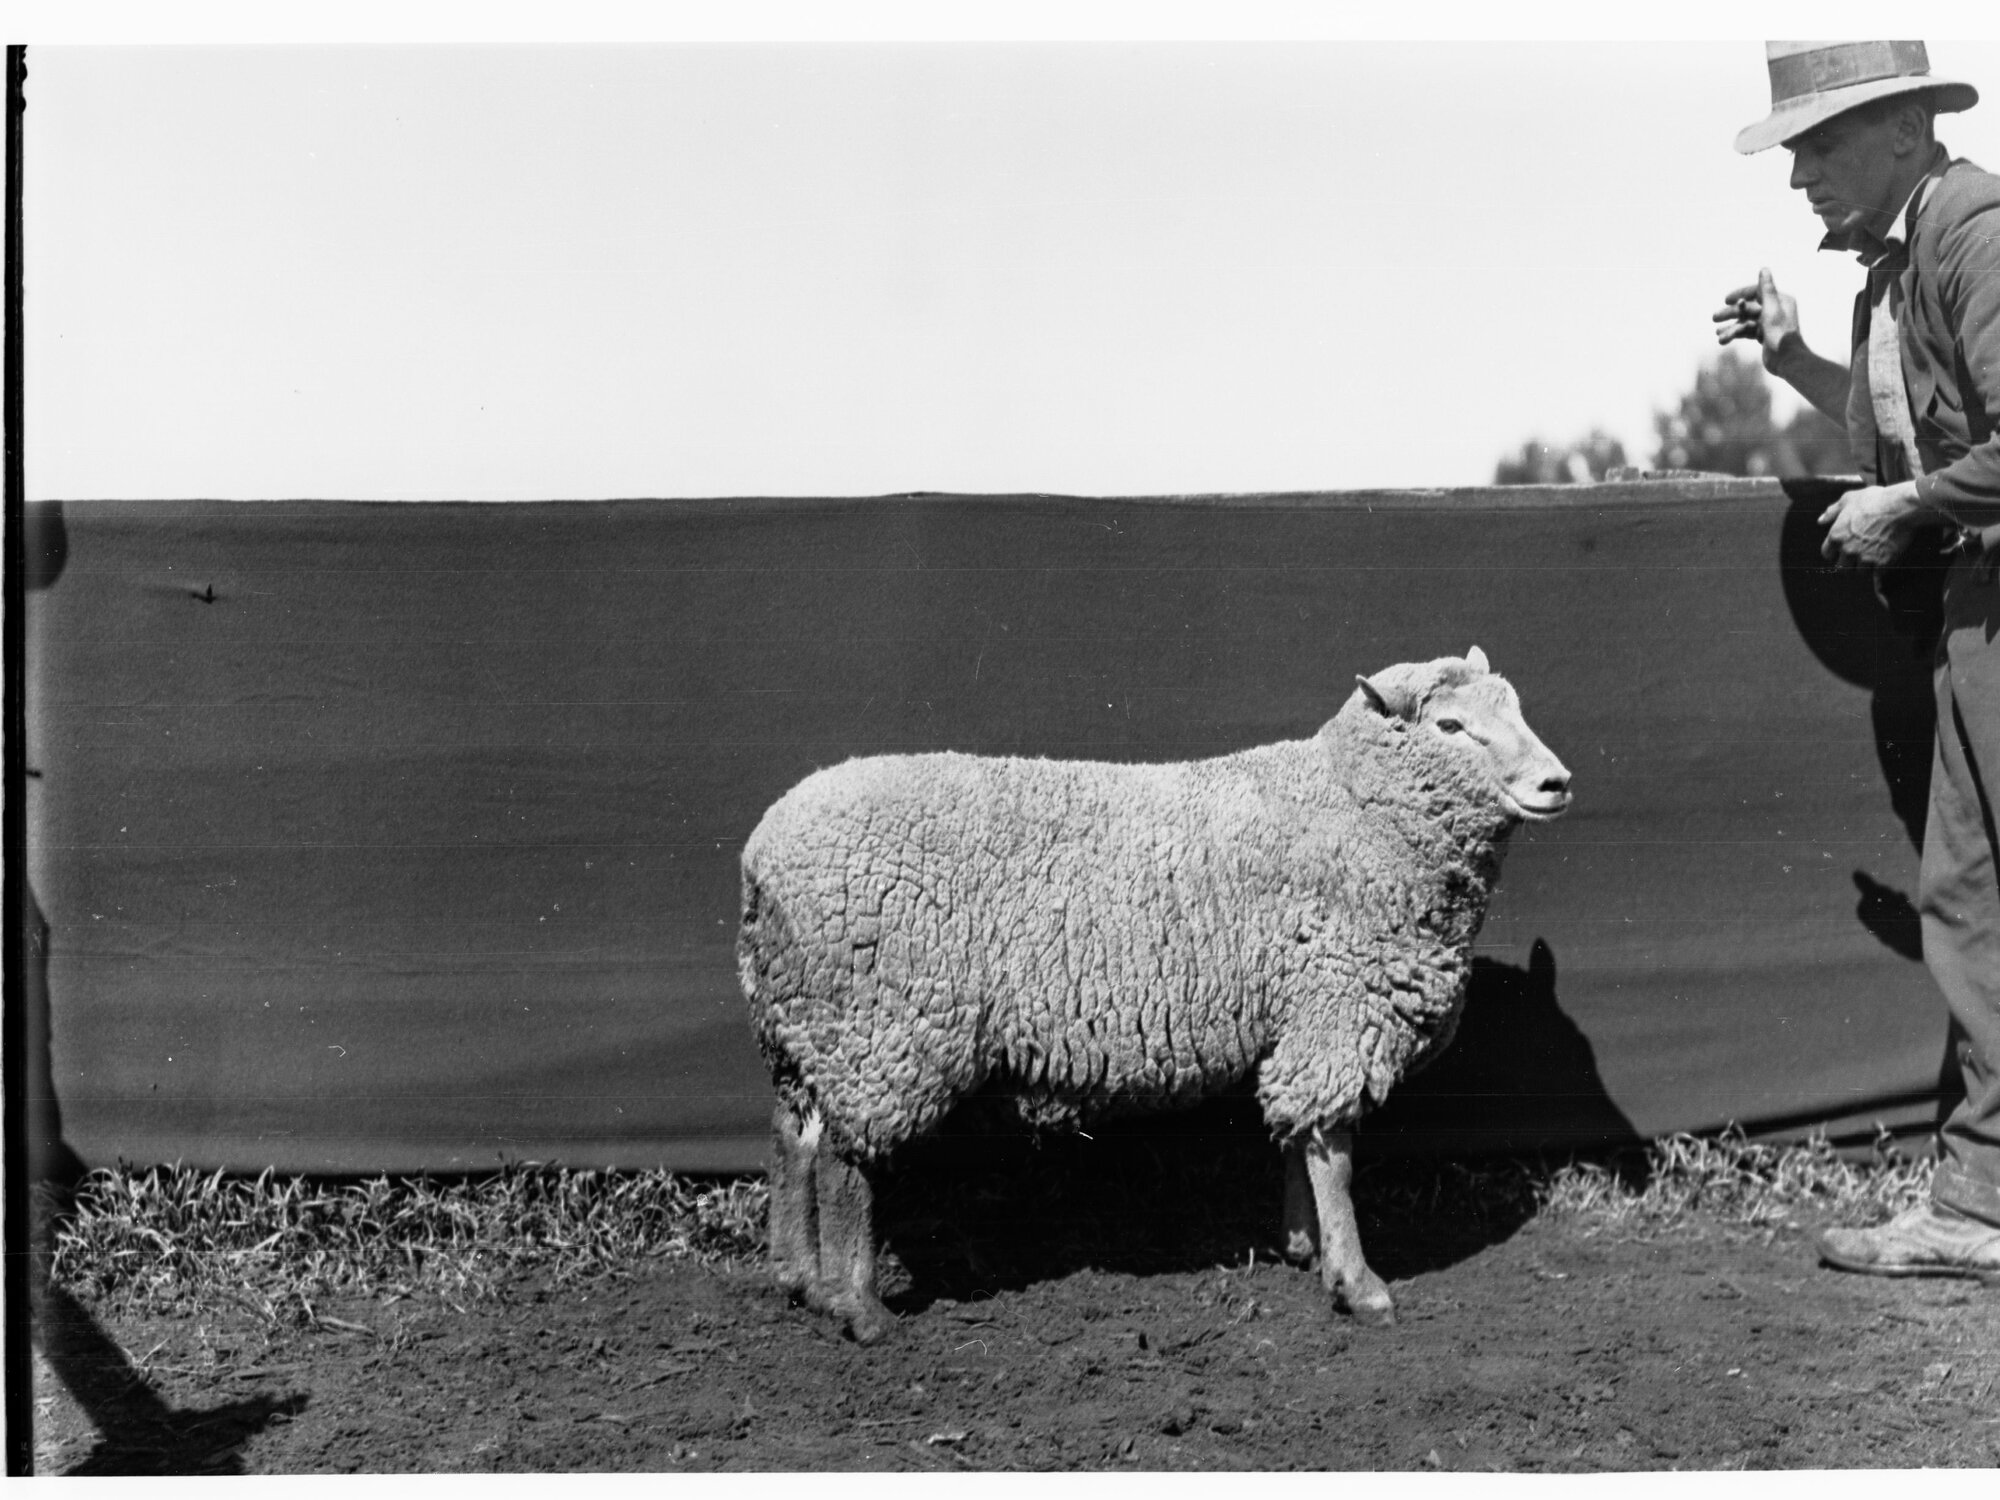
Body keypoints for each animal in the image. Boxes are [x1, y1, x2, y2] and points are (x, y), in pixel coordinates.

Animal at [737, 647, 1571, 1342]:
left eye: (1515, 707)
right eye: (1452, 726)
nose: (1555, 783)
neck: (1351, 805)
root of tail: (761, 856)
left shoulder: (1298, 1017)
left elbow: (1295, 1140)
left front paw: (1301, 1245)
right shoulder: (1335, 1006)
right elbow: (1332, 1149)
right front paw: (1357, 1282)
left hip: (804, 1022)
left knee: (793, 1138)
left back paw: (799, 1280)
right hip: (879, 1027)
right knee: (845, 1163)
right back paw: (859, 1309)